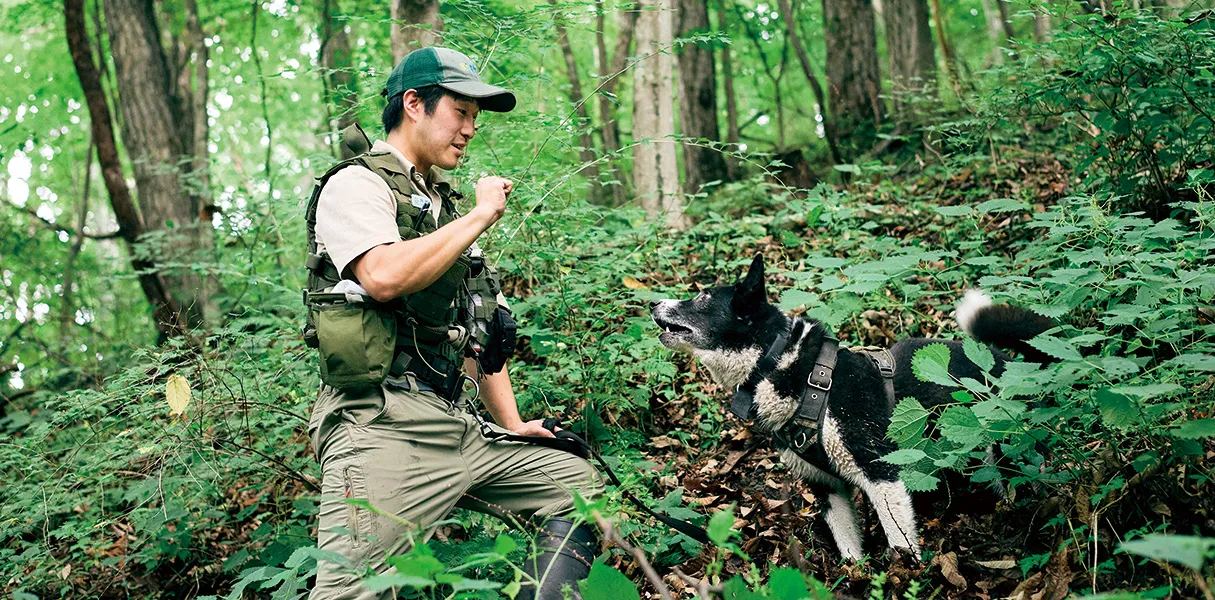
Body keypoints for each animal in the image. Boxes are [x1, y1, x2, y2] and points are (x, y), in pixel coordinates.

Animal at [651, 255, 1059, 561]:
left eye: (702, 297)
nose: (652, 302)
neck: (780, 363)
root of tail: (998, 357)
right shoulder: (827, 485)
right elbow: (848, 544)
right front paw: (856, 576)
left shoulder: (880, 471)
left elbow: (900, 540)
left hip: (999, 447)